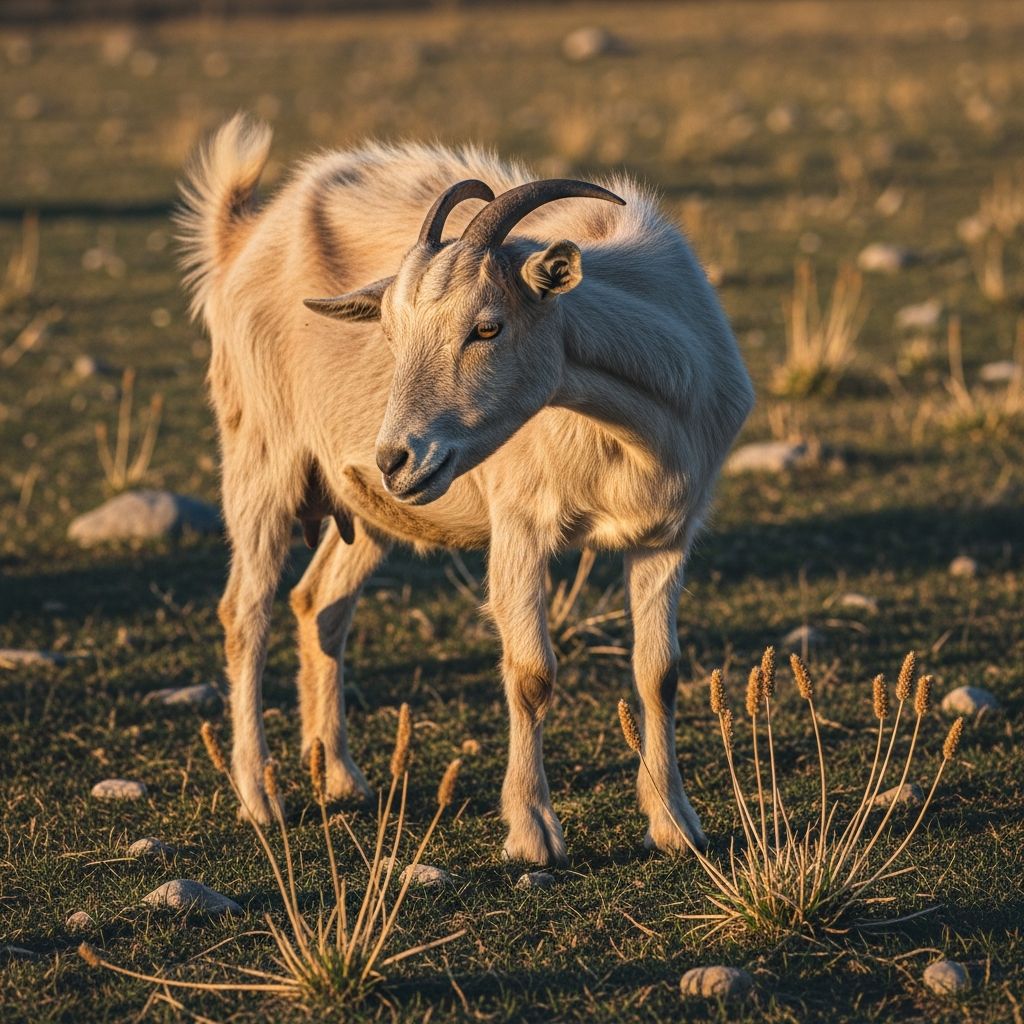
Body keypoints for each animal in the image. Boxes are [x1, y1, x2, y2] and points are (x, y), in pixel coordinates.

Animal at [177, 115, 754, 865]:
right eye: (390, 333)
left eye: (486, 326)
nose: (396, 457)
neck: (631, 424)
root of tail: (241, 237)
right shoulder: (520, 523)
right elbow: (531, 672)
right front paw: (534, 832)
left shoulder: (667, 533)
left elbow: (660, 673)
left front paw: (677, 825)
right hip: (261, 454)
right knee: (245, 614)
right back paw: (260, 796)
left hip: (369, 508)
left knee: (320, 603)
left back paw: (340, 776)